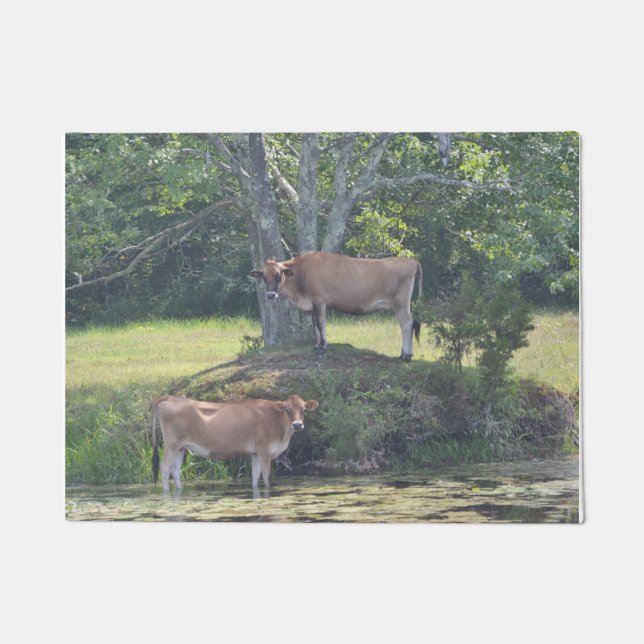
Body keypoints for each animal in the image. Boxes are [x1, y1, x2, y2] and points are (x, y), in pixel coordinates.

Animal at [150, 394, 319, 495]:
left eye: (303, 410)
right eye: (288, 410)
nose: (297, 425)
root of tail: (170, 398)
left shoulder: (255, 453)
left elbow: (255, 476)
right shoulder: (264, 450)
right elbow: (267, 476)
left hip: (181, 447)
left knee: (175, 470)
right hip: (171, 445)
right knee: (165, 468)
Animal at [251, 251, 423, 361]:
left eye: (279, 275)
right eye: (264, 276)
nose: (270, 295)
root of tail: (411, 261)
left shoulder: (319, 301)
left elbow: (321, 324)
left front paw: (323, 348)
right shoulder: (313, 305)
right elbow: (315, 325)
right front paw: (316, 345)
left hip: (400, 303)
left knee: (406, 324)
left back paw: (405, 355)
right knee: (411, 323)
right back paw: (409, 354)